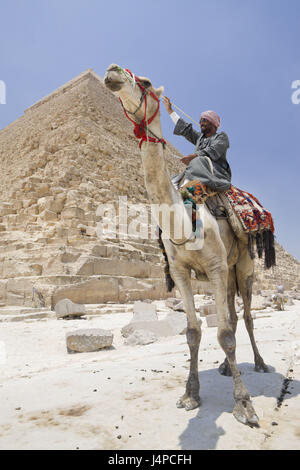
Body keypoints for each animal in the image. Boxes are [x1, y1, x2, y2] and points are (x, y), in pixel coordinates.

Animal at [103, 64, 270, 428]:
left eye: (146, 82)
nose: (112, 71)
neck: (181, 219)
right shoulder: (180, 272)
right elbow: (193, 331)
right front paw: (190, 394)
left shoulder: (217, 267)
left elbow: (224, 334)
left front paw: (244, 404)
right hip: (228, 275)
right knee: (233, 315)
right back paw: (224, 368)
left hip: (243, 267)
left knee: (247, 316)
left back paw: (260, 363)